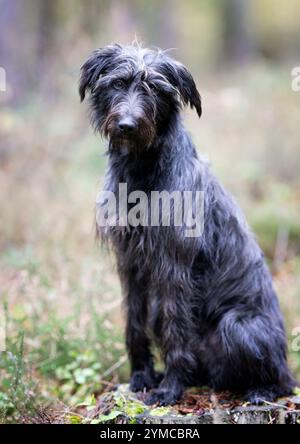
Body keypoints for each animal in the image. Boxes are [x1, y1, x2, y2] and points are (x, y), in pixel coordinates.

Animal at [79, 42, 296, 406]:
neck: (143, 172)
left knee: (282, 380)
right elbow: (134, 323)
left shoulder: (173, 267)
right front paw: (140, 377)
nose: (127, 125)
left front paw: (170, 387)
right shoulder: (130, 264)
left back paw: (260, 390)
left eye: (155, 89)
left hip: (237, 325)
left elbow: (175, 328)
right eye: (118, 83)